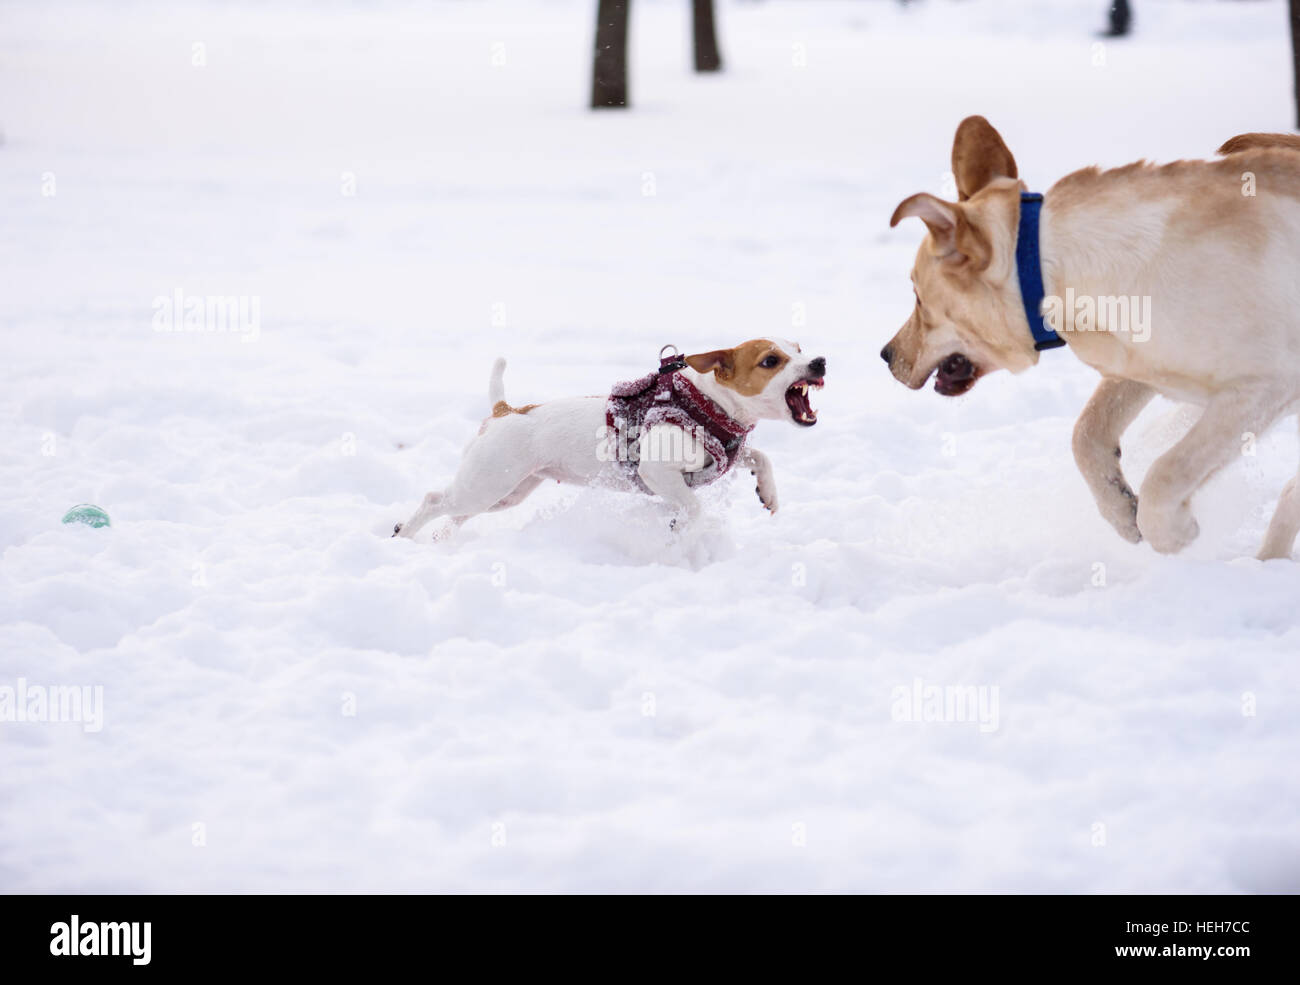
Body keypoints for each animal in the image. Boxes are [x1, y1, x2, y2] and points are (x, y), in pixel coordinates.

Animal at [390, 337, 826, 540]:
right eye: (771, 360)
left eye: (799, 347)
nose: (820, 361)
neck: (708, 405)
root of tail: (505, 410)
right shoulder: (656, 471)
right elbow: (692, 505)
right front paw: (680, 528)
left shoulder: (728, 453)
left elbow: (760, 456)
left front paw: (768, 493)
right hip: (487, 481)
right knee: (435, 500)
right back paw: (404, 536)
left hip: (506, 493)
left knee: (455, 515)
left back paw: (442, 540)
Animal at [883, 116, 1300, 558]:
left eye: (917, 297)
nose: (885, 355)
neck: (1054, 269)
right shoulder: (1136, 364)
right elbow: (1085, 434)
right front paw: (1121, 508)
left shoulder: (1267, 385)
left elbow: (1167, 471)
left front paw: (1174, 531)